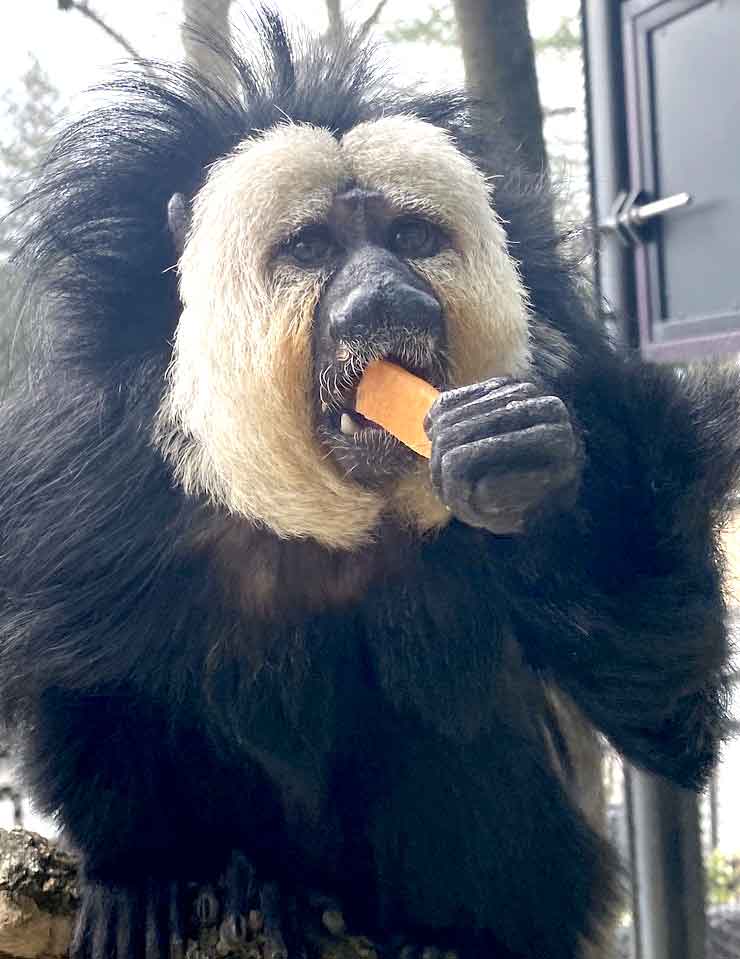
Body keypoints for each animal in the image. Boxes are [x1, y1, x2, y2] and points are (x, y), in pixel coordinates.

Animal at [0, 9, 736, 959]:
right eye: (312, 248)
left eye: (410, 241)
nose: (389, 298)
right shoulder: (84, 473)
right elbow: (71, 670)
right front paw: (140, 869)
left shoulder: (593, 410)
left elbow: (667, 715)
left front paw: (525, 469)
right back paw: (246, 880)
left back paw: (424, 929)